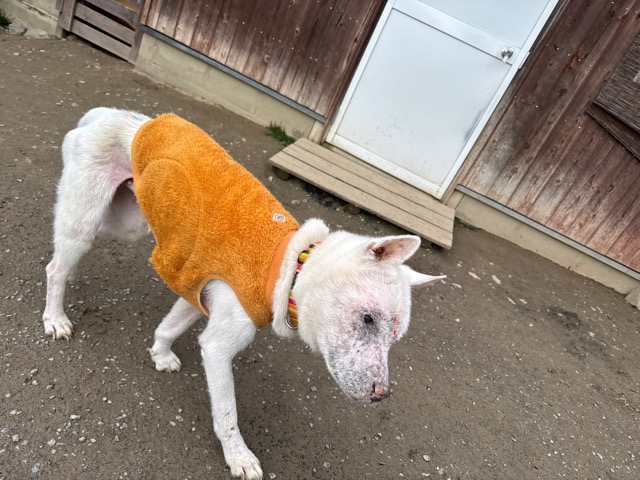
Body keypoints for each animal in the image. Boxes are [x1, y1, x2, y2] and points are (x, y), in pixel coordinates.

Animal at [42, 107, 445, 479]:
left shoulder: (196, 291)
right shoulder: (220, 343)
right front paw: (238, 457)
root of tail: (113, 115)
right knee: (55, 265)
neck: (288, 267)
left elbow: (170, 326)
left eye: (395, 337)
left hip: (127, 222)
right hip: (89, 215)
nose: (381, 395)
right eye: (367, 318)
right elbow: (227, 413)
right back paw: (55, 316)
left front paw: (160, 354)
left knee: (70, 247)